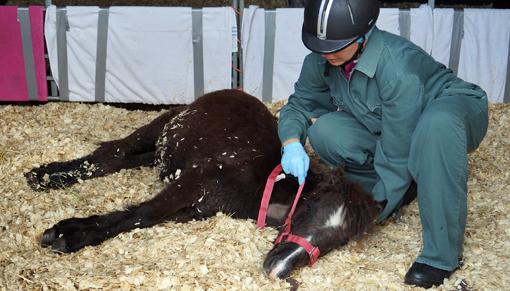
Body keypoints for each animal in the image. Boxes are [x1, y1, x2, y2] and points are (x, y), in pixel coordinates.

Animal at [24, 89, 414, 280]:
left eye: (340, 240)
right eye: (310, 207)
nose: (279, 269)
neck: (261, 186)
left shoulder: (194, 207)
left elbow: (138, 217)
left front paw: (72, 231)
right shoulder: (193, 182)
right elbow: (144, 213)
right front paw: (68, 235)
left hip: (164, 152)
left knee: (123, 160)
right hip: (161, 124)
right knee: (109, 154)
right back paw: (44, 176)